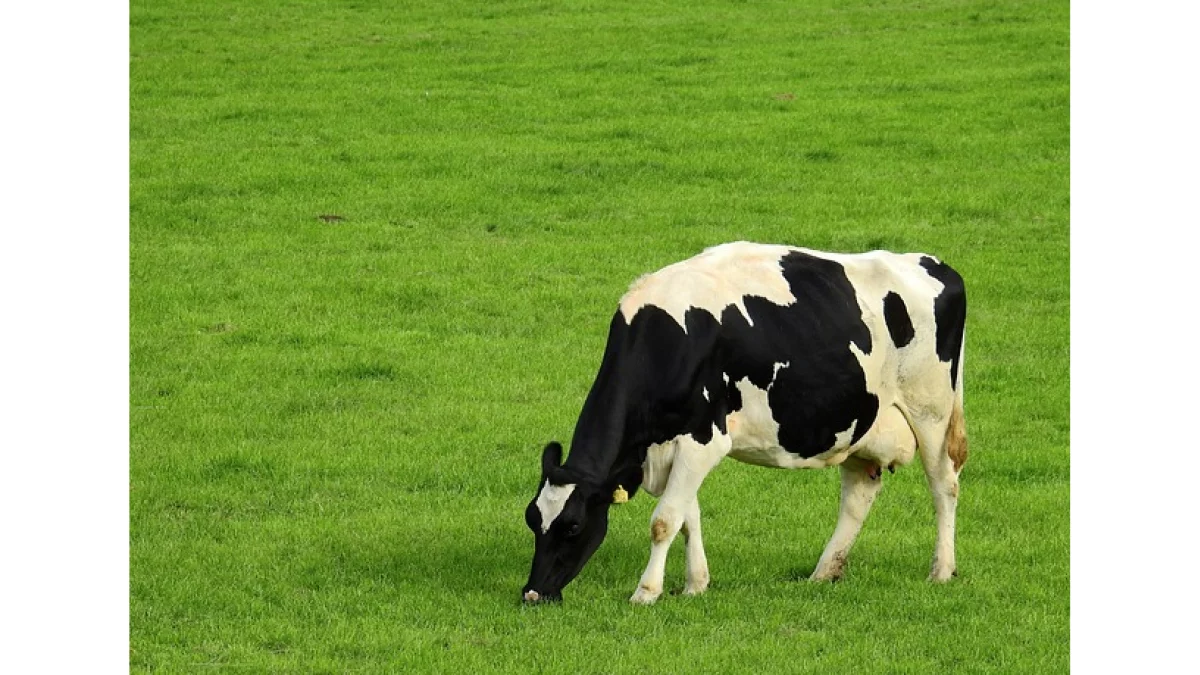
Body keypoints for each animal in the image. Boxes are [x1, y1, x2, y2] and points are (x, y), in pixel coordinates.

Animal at [520, 241, 969, 605]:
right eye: (531, 519)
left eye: (573, 526)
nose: (533, 593)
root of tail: (935, 264)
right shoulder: (679, 443)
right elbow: (688, 517)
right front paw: (695, 584)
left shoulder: (704, 439)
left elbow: (665, 521)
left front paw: (646, 592)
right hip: (861, 424)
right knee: (859, 495)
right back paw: (824, 572)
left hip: (931, 411)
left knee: (944, 485)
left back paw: (941, 571)